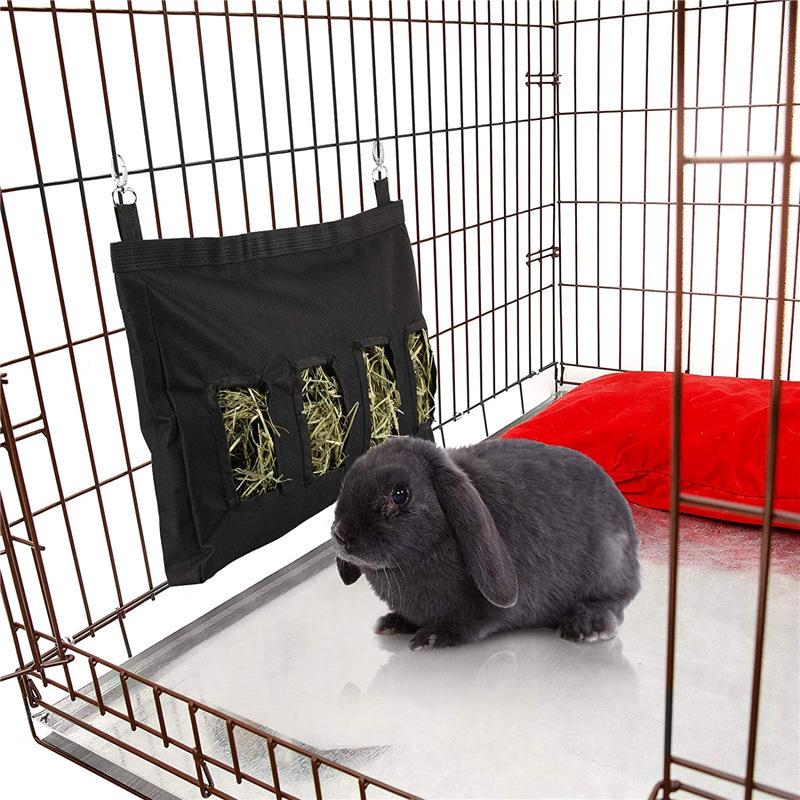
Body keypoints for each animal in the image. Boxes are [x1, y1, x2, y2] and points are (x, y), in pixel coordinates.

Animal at [331, 435, 640, 651]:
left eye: (400, 494)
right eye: (346, 484)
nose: (341, 535)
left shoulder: (479, 612)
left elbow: (471, 624)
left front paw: (431, 638)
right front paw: (393, 623)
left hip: (609, 567)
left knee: (615, 600)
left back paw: (585, 626)